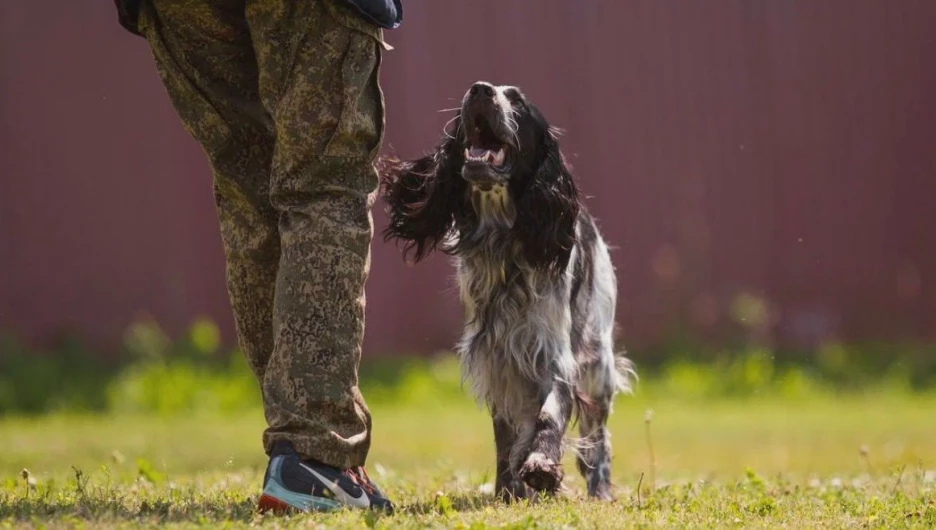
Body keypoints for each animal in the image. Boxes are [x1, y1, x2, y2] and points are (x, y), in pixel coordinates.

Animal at [378, 79, 636, 500]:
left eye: (516, 101)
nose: (480, 90)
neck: (503, 239)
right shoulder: (497, 356)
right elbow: (505, 435)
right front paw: (508, 490)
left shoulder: (553, 356)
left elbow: (550, 415)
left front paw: (542, 466)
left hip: (598, 362)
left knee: (598, 439)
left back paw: (600, 491)